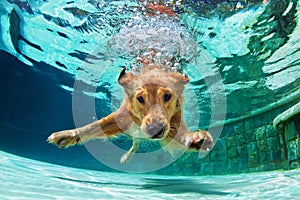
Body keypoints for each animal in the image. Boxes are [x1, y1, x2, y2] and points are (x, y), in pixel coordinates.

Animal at [47, 65, 213, 163]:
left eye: (167, 96)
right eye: (140, 98)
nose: (155, 129)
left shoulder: (173, 124)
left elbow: (183, 135)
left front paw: (198, 138)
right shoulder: (120, 118)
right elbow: (93, 126)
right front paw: (67, 135)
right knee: (135, 143)